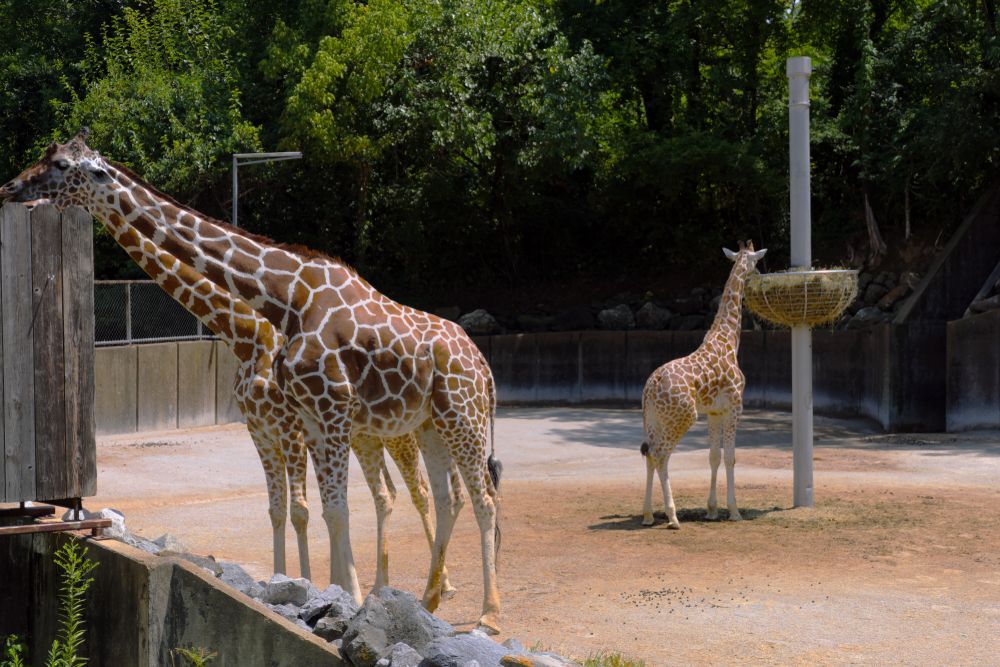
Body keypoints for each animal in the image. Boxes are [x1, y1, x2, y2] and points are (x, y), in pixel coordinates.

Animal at [0, 130, 501, 633]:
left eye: (62, 165)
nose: (10, 187)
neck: (285, 302)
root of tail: (484, 365)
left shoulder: (326, 413)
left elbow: (327, 509)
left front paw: (348, 597)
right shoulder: (304, 421)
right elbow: (310, 509)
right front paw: (331, 593)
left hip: (459, 419)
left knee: (479, 499)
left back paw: (488, 615)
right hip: (428, 424)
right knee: (446, 497)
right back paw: (428, 598)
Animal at [640, 241, 766, 529]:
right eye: (756, 262)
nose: (758, 277)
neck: (729, 339)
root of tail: (650, 389)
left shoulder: (714, 412)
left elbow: (713, 457)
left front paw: (712, 510)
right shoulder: (734, 407)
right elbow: (730, 457)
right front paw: (734, 511)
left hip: (653, 420)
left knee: (649, 454)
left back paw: (648, 515)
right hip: (683, 417)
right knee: (661, 455)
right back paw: (672, 517)